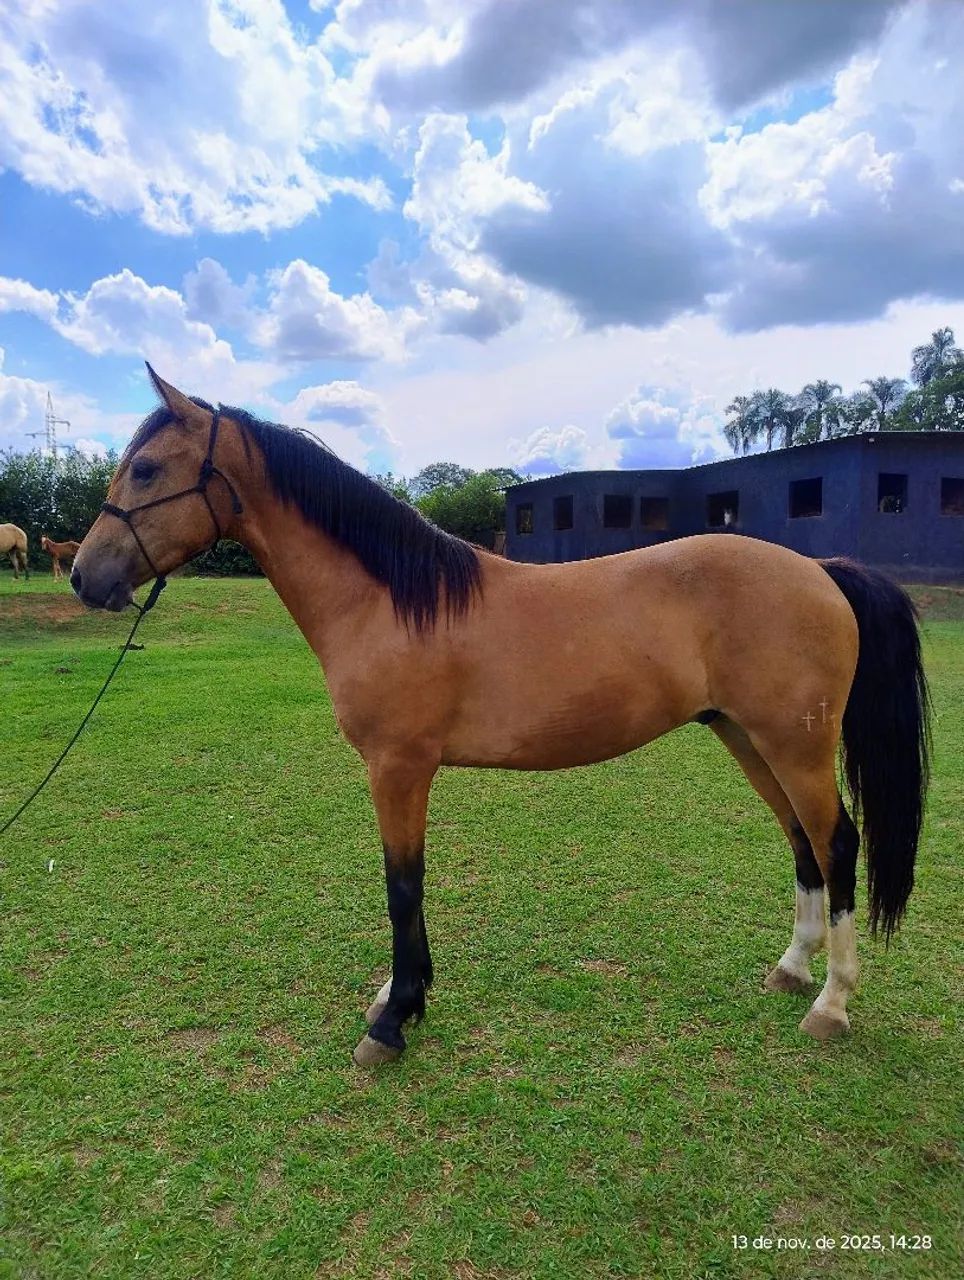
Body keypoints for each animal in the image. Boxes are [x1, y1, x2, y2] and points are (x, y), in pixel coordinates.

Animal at [70, 367, 930, 1067]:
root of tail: (821, 570)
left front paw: (393, 1020)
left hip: (794, 744)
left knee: (837, 842)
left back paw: (831, 1003)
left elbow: (403, 884)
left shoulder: (399, 768)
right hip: (749, 738)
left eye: (146, 467)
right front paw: (403, 996)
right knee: (802, 843)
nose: (83, 575)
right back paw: (791, 970)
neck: (390, 600)